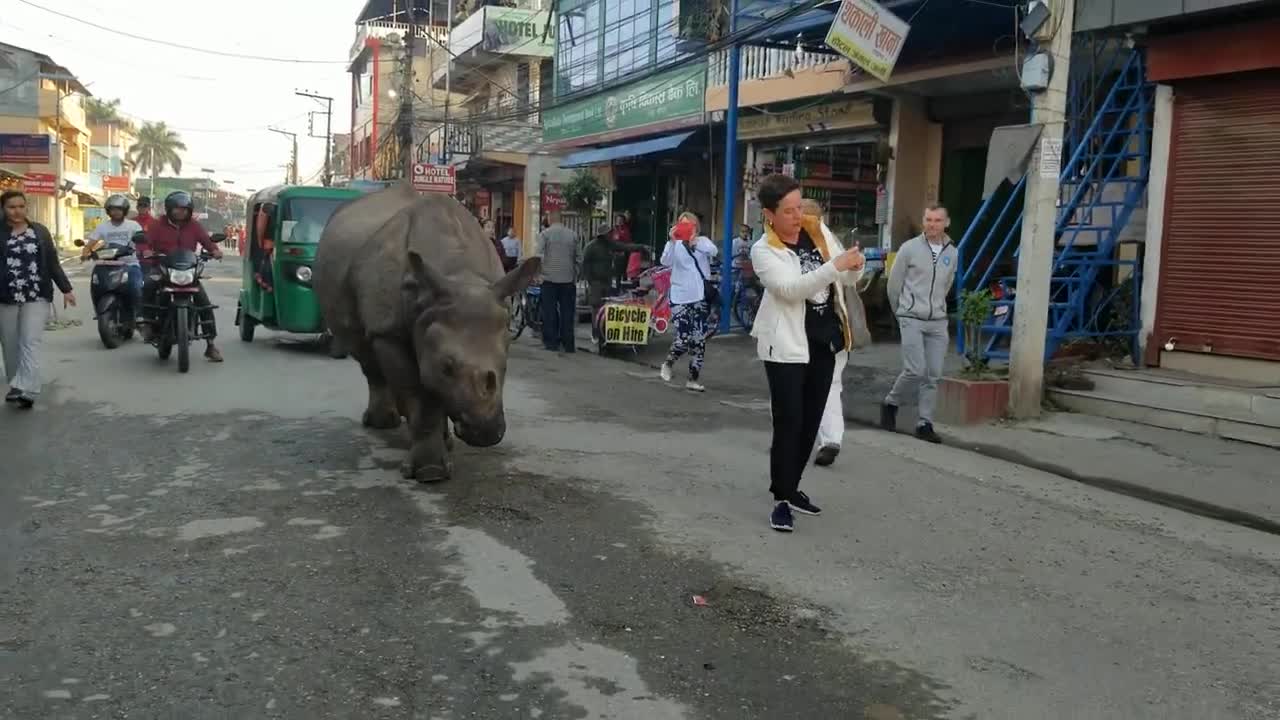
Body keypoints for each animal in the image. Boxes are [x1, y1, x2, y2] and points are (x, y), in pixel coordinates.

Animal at [320, 181, 545, 479]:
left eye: (505, 366)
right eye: (446, 367)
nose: (486, 433)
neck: (459, 275)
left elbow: (434, 391)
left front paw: (440, 446)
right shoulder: (388, 331)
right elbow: (420, 392)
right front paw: (430, 472)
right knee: (365, 353)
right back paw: (383, 423)